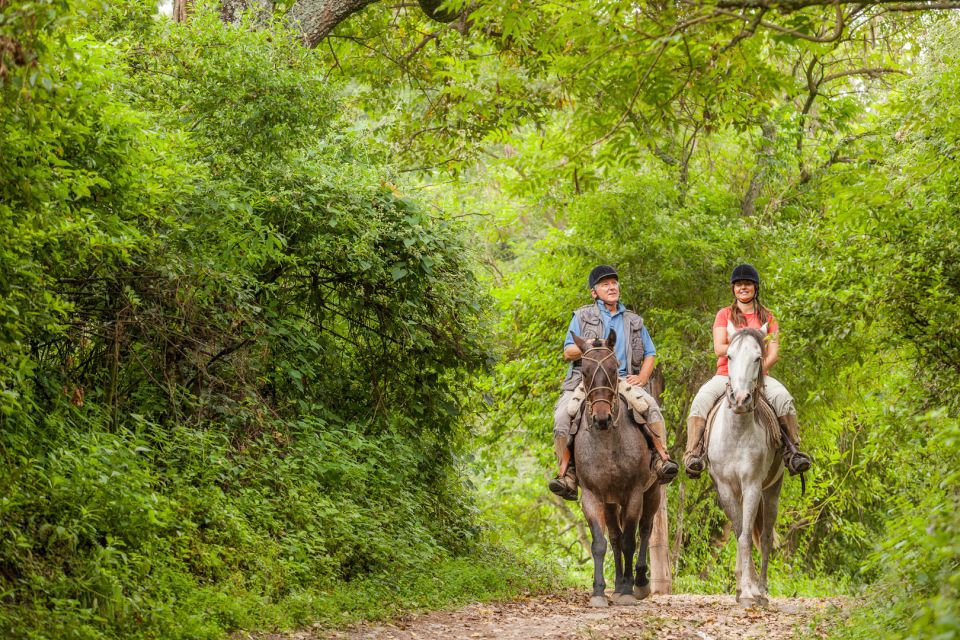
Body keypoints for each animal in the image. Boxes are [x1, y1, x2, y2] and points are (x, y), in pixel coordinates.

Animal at [568, 332, 660, 608]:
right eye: (585, 372)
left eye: (612, 369)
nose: (601, 419)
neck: (607, 442)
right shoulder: (592, 496)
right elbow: (601, 543)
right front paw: (599, 592)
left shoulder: (634, 494)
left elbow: (631, 540)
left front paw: (629, 591)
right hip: (610, 502)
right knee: (615, 536)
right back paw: (618, 585)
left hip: (653, 492)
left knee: (645, 529)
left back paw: (638, 583)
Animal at [708, 328, 784, 608]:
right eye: (729, 355)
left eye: (758, 358)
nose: (740, 399)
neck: (737, 432)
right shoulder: (726, 488)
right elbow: (740, 532)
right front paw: (742, 589)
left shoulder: (752, 486)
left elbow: (746, 537)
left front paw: (751, 592)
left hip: (772, 491)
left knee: (765, 538)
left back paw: (762, 591)